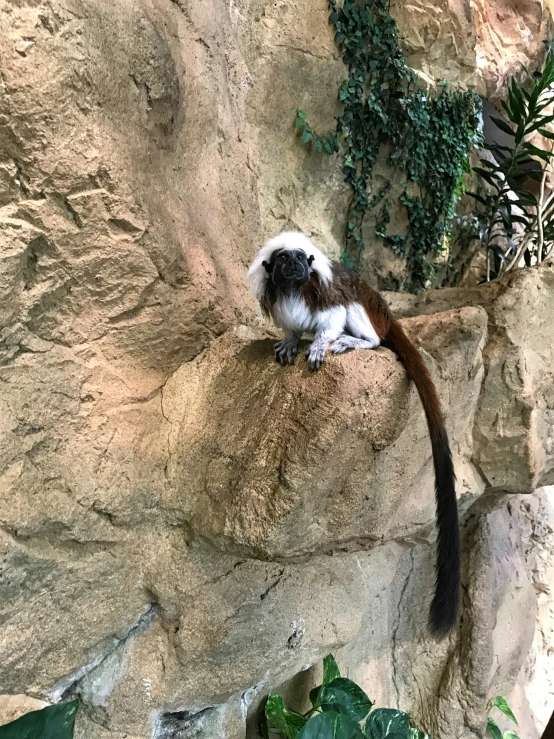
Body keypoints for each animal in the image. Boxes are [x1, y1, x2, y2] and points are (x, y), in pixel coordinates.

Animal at [248, 233, 460, 640]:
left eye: (299, 259)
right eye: (282, 261)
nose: (294, 266)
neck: (294, 291)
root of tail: (388, 313)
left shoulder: (323, 295)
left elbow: (332, 317)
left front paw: (318, 344)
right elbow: (292, 327)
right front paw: (292, 339)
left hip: (370, 314)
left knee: (359, 313)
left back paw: (360, 342)